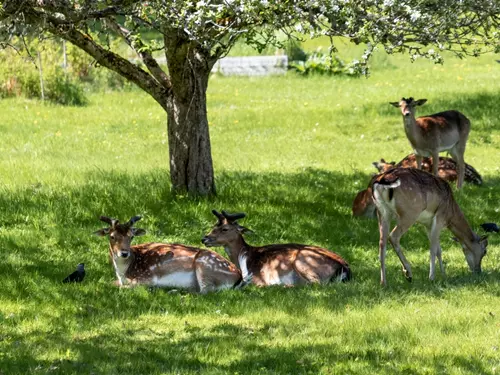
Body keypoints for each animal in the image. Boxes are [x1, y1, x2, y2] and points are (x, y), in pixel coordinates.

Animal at [94, 214, 243, 294]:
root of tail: (239, 275)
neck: (123, 272)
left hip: (205, 265)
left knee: (206, 291)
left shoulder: (147, 277)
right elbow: (106, 283)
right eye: (112, 236)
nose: (124, 253)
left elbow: (123, 287)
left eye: (131, 236)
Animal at [200, 210, 352, 286]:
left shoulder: (257, 277)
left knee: (316, 283)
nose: (204, 238)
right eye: (214, 226)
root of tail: (345, 268)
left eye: (225, 229)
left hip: (303, 261)